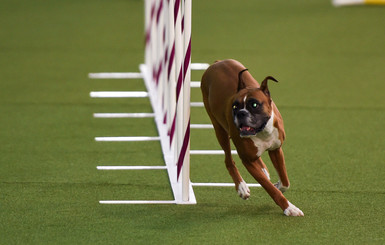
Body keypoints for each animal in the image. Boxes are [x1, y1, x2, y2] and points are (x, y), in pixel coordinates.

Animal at [201, 59, 304, 216]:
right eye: (235, 106)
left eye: (254, 104)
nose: (241, 113)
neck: (262, 131)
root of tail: (217, 62)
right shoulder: (248, 161)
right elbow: (270, 188)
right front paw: (289, 208)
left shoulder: (276, 150)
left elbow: (285, 181)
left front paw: (279, 185)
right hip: (219, 130)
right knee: (228, 160)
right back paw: (241, 187)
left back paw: (263, 169)